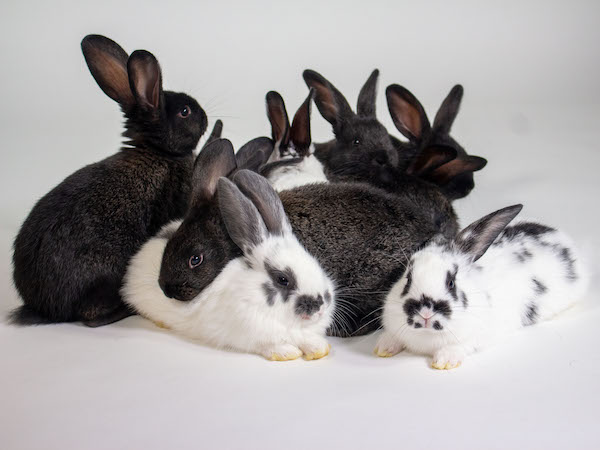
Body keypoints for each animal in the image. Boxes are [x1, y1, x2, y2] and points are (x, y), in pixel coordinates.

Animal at [120, 167, 338, 360]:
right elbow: (269, 346)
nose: (321, 305)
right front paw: (286, 353)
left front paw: (319, 348)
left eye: (315, 263)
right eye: (283, 279)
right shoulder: (250, 335)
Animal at [378, 204, 588, 370]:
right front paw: (382, 348)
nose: (425, 312)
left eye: (451, 282)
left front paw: (444, 360)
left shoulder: (481, 334)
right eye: (408, 279)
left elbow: (463, 345)